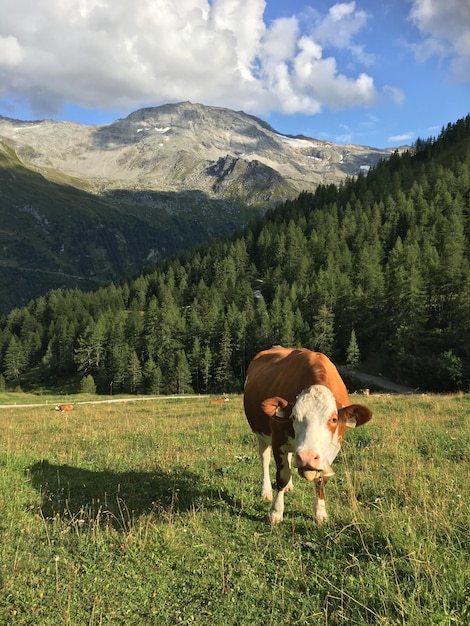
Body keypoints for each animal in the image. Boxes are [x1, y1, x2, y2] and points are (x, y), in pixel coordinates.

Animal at [242, 346, 370, 520]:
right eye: (293, 416)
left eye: (334, 419)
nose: (306, 458)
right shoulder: (278, 441)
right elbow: (282, 476)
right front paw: (276, 512)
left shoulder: (333, 447)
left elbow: (321, 479)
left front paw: (320, 513)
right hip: (260, 434)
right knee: (265, 459)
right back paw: (266, 491)